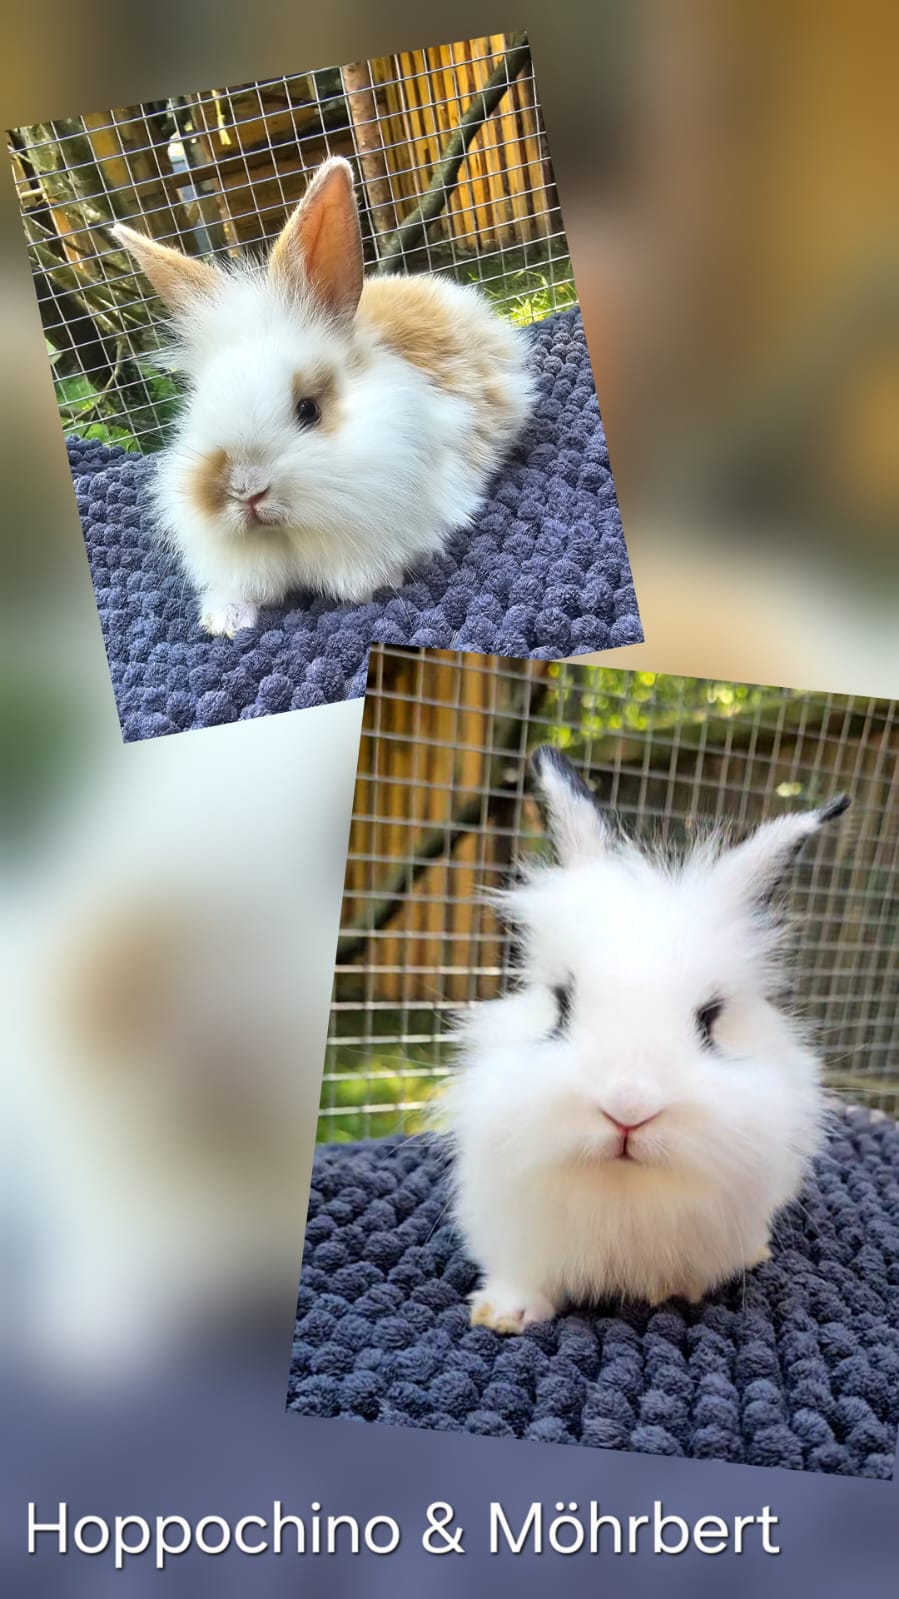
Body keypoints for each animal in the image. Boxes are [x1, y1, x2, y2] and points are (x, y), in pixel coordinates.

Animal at [445, 744, 851, 1334]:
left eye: (709, 1020)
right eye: (561, 1004)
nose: (628, 1109)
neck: (623, 1192)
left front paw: (674, 1293)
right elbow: (526, 1275)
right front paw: (503, 1316)